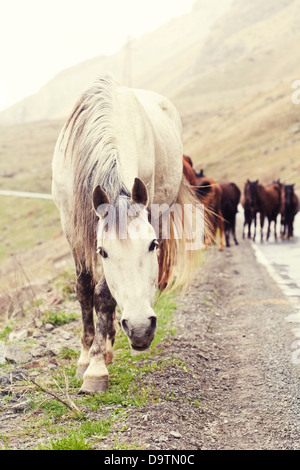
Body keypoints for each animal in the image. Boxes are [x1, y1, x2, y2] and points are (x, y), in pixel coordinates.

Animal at [51, 74, 202, 392]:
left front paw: (96, 367)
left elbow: (104, 295)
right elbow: (84, 289)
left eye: (152, 245)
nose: (141, 329)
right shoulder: (71, 226)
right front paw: (86, 355)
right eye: (103, 251)